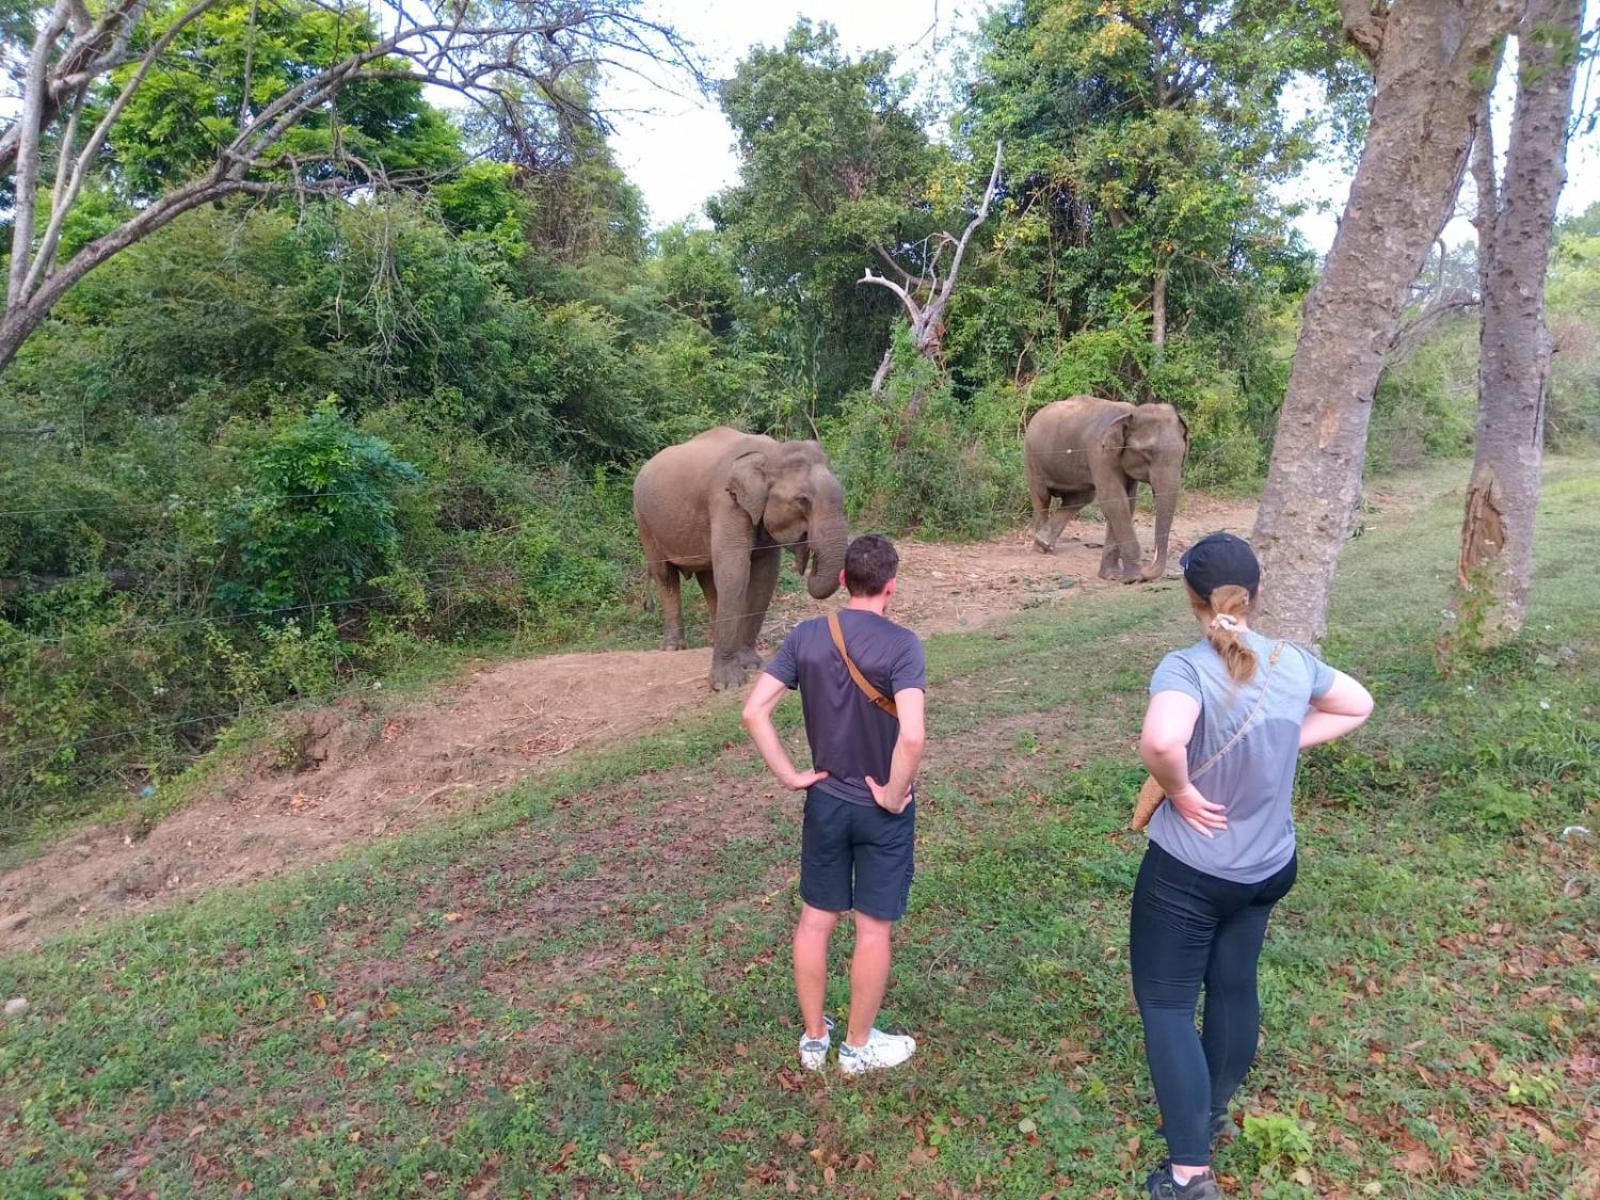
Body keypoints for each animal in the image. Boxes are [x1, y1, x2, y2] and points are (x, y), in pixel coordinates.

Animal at [633, 428, 851, 694]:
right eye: (803, 500)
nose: (807, 557)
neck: (772, 451)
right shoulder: (726, 501)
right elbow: (735, 572)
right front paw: (727, 684)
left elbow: (764, 576)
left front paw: (751, 664)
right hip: (644, 520)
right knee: (665, 576)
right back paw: (673, 647)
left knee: (708, 578)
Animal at [1024, 400, 1190, 582]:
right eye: (1146, 451)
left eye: (1183, 452)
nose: (1146, 570)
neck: (1131, 412)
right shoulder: (1100, 453)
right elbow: (1115, 500)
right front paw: (1134, 578)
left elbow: (1125, 503)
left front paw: (1112, 576)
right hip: (1032, 457)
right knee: (1042, 497)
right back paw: (1040, 547)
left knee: (1080, 497)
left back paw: (1044, 542)